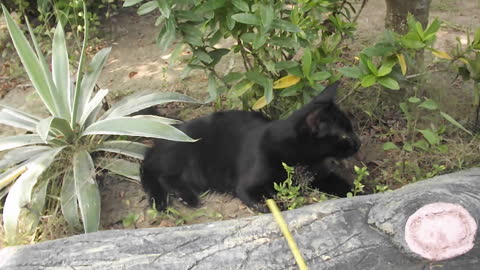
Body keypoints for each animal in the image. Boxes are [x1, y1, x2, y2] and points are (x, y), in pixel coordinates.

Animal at [141, 81, 362, 212]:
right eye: (343, 135)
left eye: (351, 128)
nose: (358, 142)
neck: (301, 158)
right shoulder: (247, 188)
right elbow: (277, 206)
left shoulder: (322, 176)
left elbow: (346, 187)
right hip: (189, 161)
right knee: (153, 172)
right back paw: (169, 201)